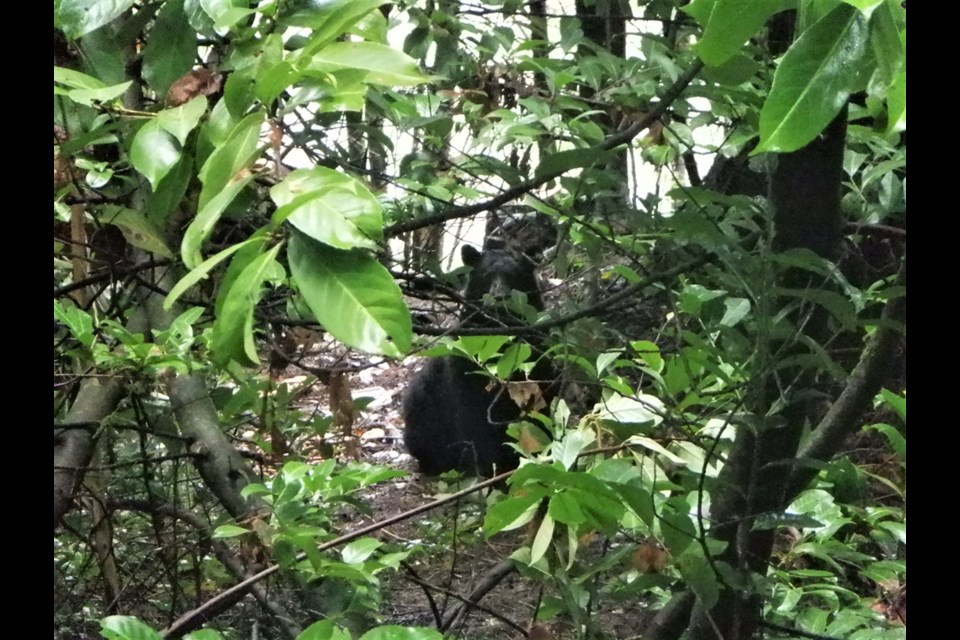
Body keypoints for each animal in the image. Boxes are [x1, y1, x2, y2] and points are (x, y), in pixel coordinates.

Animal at [404, 245, 552, 476]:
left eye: (514, 275)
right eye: (487, 275)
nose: (500, 297)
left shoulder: (538, 357)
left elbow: (539, 408)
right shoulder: (463, 368)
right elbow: (474, 417)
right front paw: (491, 467)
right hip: (422, 403)